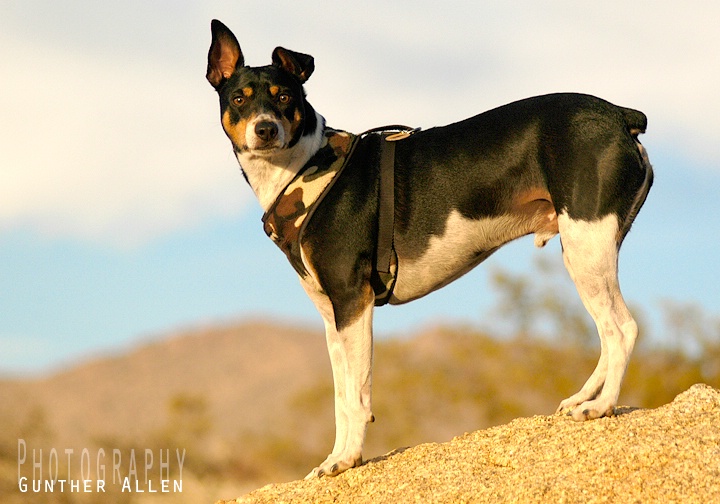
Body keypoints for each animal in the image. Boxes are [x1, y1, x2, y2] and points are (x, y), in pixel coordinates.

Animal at [207, 18, 652, 476]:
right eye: (239, 98)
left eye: (285, 97)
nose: (265, 129)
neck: (304, 168)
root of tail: (620, 115)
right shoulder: (332, 316)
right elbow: (341, 398)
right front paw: (335, 458)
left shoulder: (353, 301)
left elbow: (358, 394)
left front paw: (348, 459)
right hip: (584, 251)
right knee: (608, 333)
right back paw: (583, 398)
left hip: (587, 247)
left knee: (621, 329)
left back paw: (602, 406)